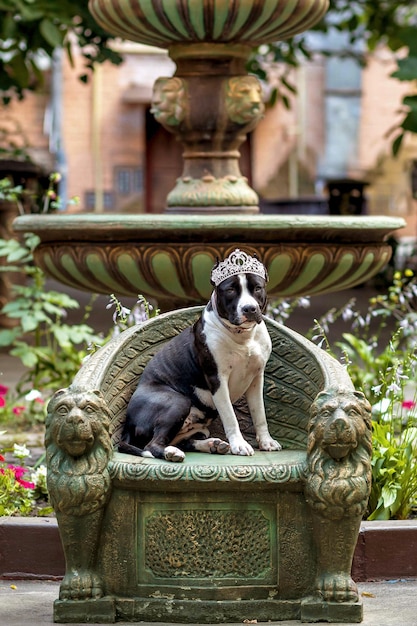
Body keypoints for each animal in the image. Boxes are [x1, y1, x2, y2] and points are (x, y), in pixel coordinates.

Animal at [120, 247, 282, 458]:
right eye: (230, 290)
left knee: (183, 441)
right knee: (152, 445)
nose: (249, 309)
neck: (242, 337)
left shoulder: (256, 378)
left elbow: (259, 414)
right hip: (177, 401)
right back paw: (172, 453)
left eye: (257, 288)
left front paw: (266, 441)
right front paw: (239, 444)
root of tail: (127, 425)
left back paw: (212, 444)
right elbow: (230, 416)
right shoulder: (217, 380)